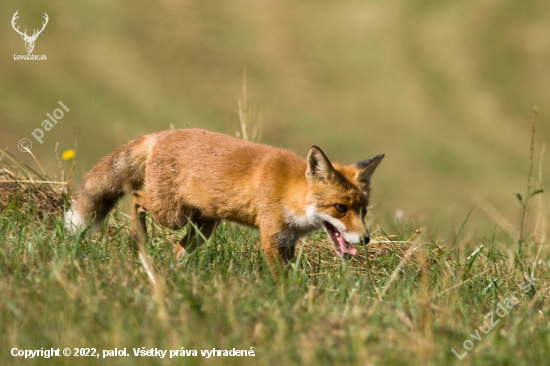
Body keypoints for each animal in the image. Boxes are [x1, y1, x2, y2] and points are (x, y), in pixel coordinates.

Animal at [66, 129, 384, 278]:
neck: (289, 191)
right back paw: (140, 241)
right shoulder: (271, 239)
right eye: (340, 208)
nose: (365, 240)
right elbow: (283, 282)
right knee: (135, 196)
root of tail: (160, 135)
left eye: (363, 210)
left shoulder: (288, 241)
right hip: (173, 215)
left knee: (177, 249)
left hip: (203, 227)